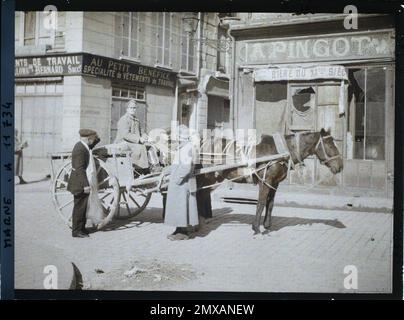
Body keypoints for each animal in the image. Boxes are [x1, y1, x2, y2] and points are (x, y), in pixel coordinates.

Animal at [197, 127, 342, 235]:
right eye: (330, 145)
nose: (340, 166)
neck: (280, 152)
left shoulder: (274, 183)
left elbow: (270, 203)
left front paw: (267, 225)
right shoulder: (265, 181)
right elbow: (261, 203)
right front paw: (256, 228)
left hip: (214, 177)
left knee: (203, 194)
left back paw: (202, 220)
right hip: (208, 176)